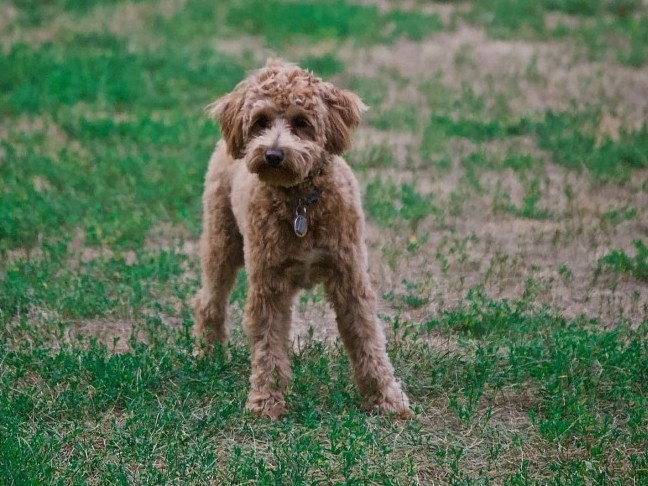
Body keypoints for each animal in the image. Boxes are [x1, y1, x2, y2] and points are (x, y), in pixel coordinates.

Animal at [192, 59, 412, 418]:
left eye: (301, 123)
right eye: (261, 121)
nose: (273, 154)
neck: (300, 203)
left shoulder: (350, 276)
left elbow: (367, 339)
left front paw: (386, 398)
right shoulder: (267, 285)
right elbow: (268, 345)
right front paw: (266, 402)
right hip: (221, 239)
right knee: (209, 299)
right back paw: (207, 353)